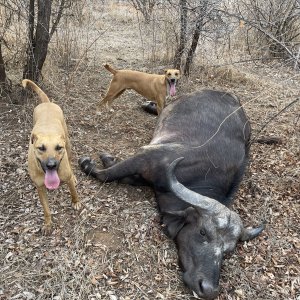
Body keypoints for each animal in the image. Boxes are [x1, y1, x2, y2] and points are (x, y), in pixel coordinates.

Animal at [23, 79, 81, 234]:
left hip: (68, 144)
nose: (51, 165)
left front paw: (76, 202)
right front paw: (48, 224)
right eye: (41, 148)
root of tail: (47, 103)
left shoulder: (66, 176)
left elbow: (73, 191)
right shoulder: (40, 188)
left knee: (71, 162)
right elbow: (46, 209)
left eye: (58, 148)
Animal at [78, 89, 264, 300]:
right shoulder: (146, 157)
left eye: (227, 250)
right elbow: (107, 175)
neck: (197, 175)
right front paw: (90, 163)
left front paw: (107, 159)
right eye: (202, 232)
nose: (209, 289)